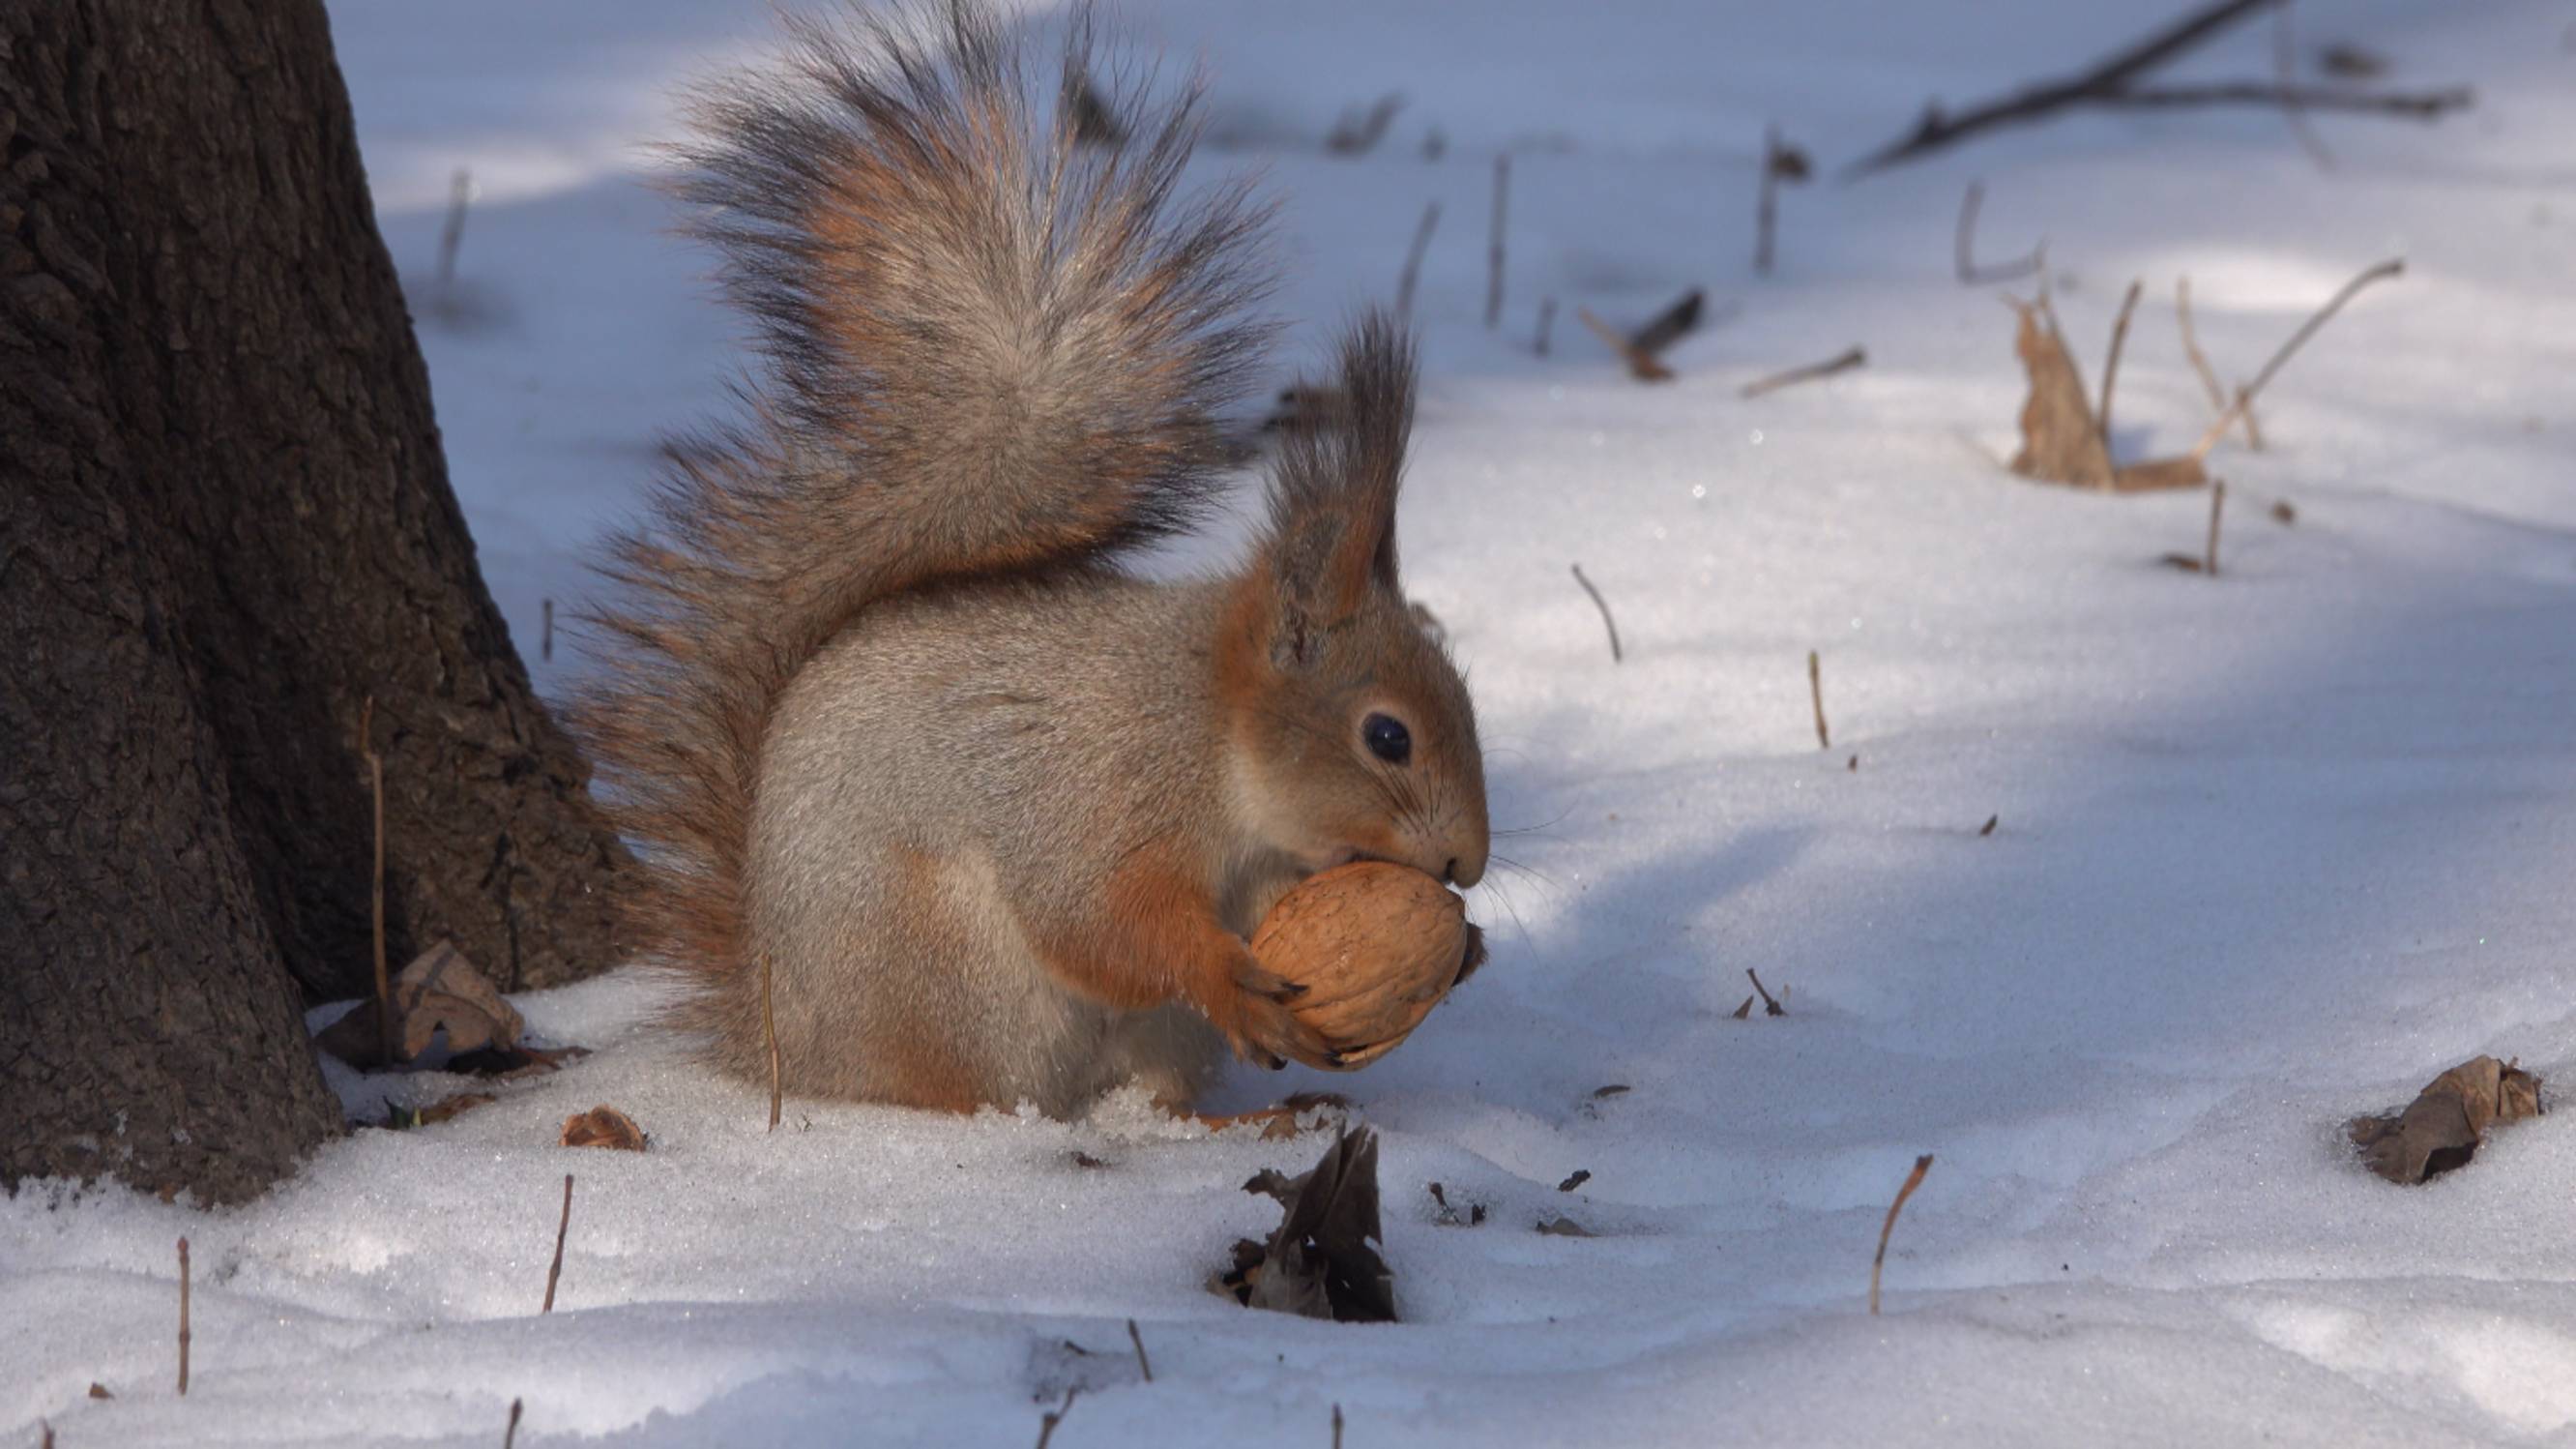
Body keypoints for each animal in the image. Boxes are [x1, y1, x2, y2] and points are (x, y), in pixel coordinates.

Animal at [569, 2, 1494, 1118]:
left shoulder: (1269, 873)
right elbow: (1100, 918)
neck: (1211, 730)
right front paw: (1226, 971)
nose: (1468, 863)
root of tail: (784, 1043)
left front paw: (1465, 950)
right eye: (1387, 737)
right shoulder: (1100, 795)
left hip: (1148, 1035)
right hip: (949, 977)